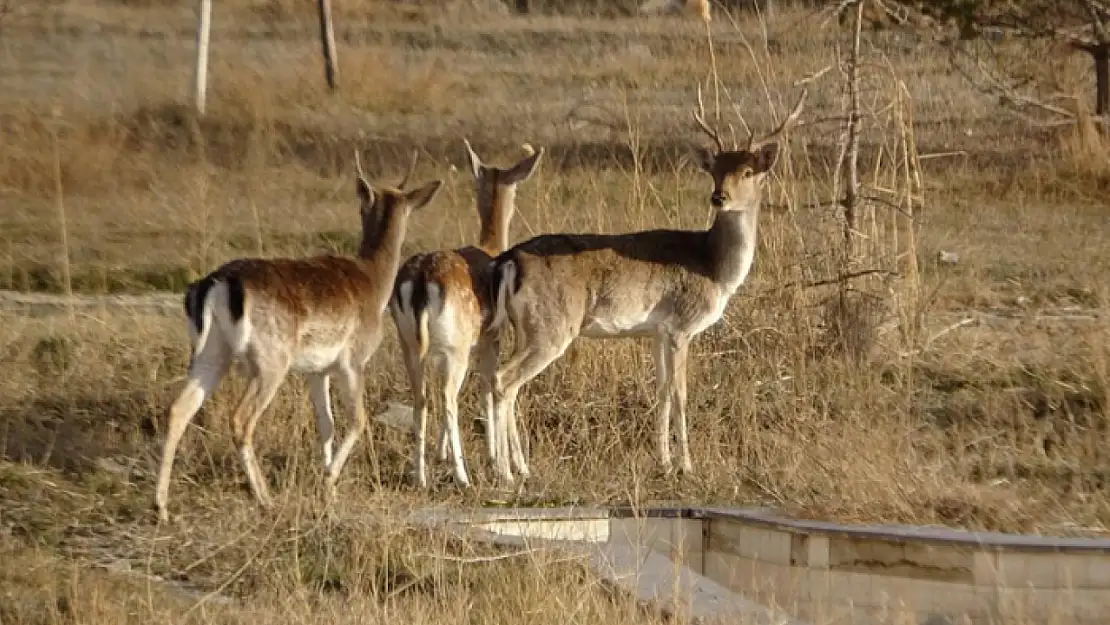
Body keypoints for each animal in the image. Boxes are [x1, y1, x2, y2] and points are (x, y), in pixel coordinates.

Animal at [153, 148, 446, 521]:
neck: (374, 283)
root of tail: (215, 285)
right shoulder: (352, 360)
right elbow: (358, 419)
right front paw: (328, 480)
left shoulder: (316, 371)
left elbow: (326, 423)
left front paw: (328, 488)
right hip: (270, 360)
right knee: (240, 419)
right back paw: (265, 498)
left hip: (210, 352)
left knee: (178, 409)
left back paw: (161, 506)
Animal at [390, 140, 546, 488]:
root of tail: (420, 280)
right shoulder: (492, 337)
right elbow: (488, 388)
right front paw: (503, 462)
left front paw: (441, 454)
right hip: (455, 345)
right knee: (449, 396)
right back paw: (463, 477)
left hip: (409, 343)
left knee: (421, 397)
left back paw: (420, 475)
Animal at [486, 86, 808, 484]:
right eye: (714, 170)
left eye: (748, 171)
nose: (719, 197)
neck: (714, 268)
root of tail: (507, 260)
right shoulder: (682, 325)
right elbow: (681, 393)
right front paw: (688, 465)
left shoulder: (657, 330)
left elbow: (662, 391)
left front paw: (665, 461)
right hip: (552, 325)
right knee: (504, 379)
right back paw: (505, 472)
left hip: (524, 327)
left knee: (504, 381)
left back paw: (521, 466)